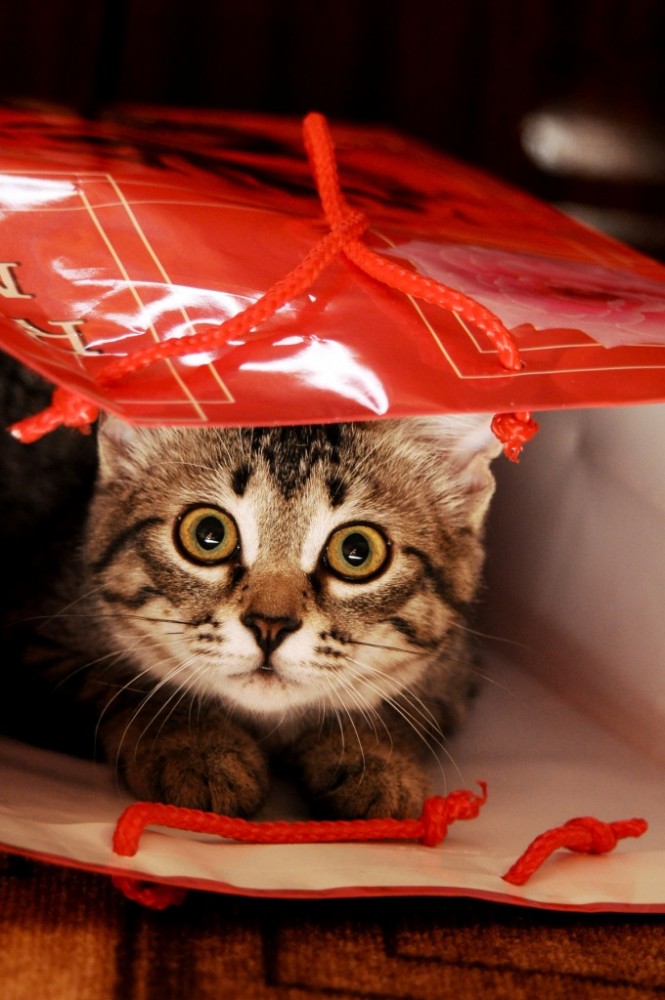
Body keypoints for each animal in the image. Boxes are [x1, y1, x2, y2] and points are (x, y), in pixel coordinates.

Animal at [0, 351, 500, 819]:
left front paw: (378, 762)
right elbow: (126, 684)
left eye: (357, 550)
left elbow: (394, 713)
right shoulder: (34, 641)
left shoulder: (452, 678)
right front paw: (195, 747)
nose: (269, 626)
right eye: (208, 534)